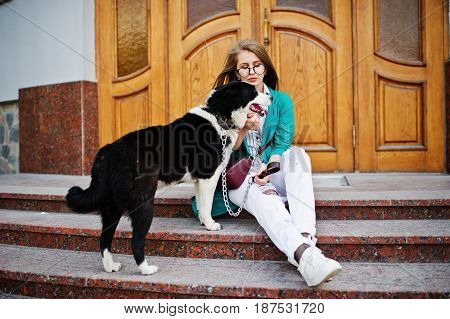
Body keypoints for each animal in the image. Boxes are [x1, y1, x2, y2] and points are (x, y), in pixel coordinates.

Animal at [66, 81, 270, 276]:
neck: (219, 114)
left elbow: (201, 206)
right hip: (144, 203)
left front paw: (204, 223)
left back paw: (110, 267)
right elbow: (207, 206)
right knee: (136, 240)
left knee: (104, 238)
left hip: (112, 207)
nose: (271, 96)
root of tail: (107, 151)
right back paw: (146, 270)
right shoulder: (208, 178)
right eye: (253, 91)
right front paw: (211, 225)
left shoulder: (199, 181)